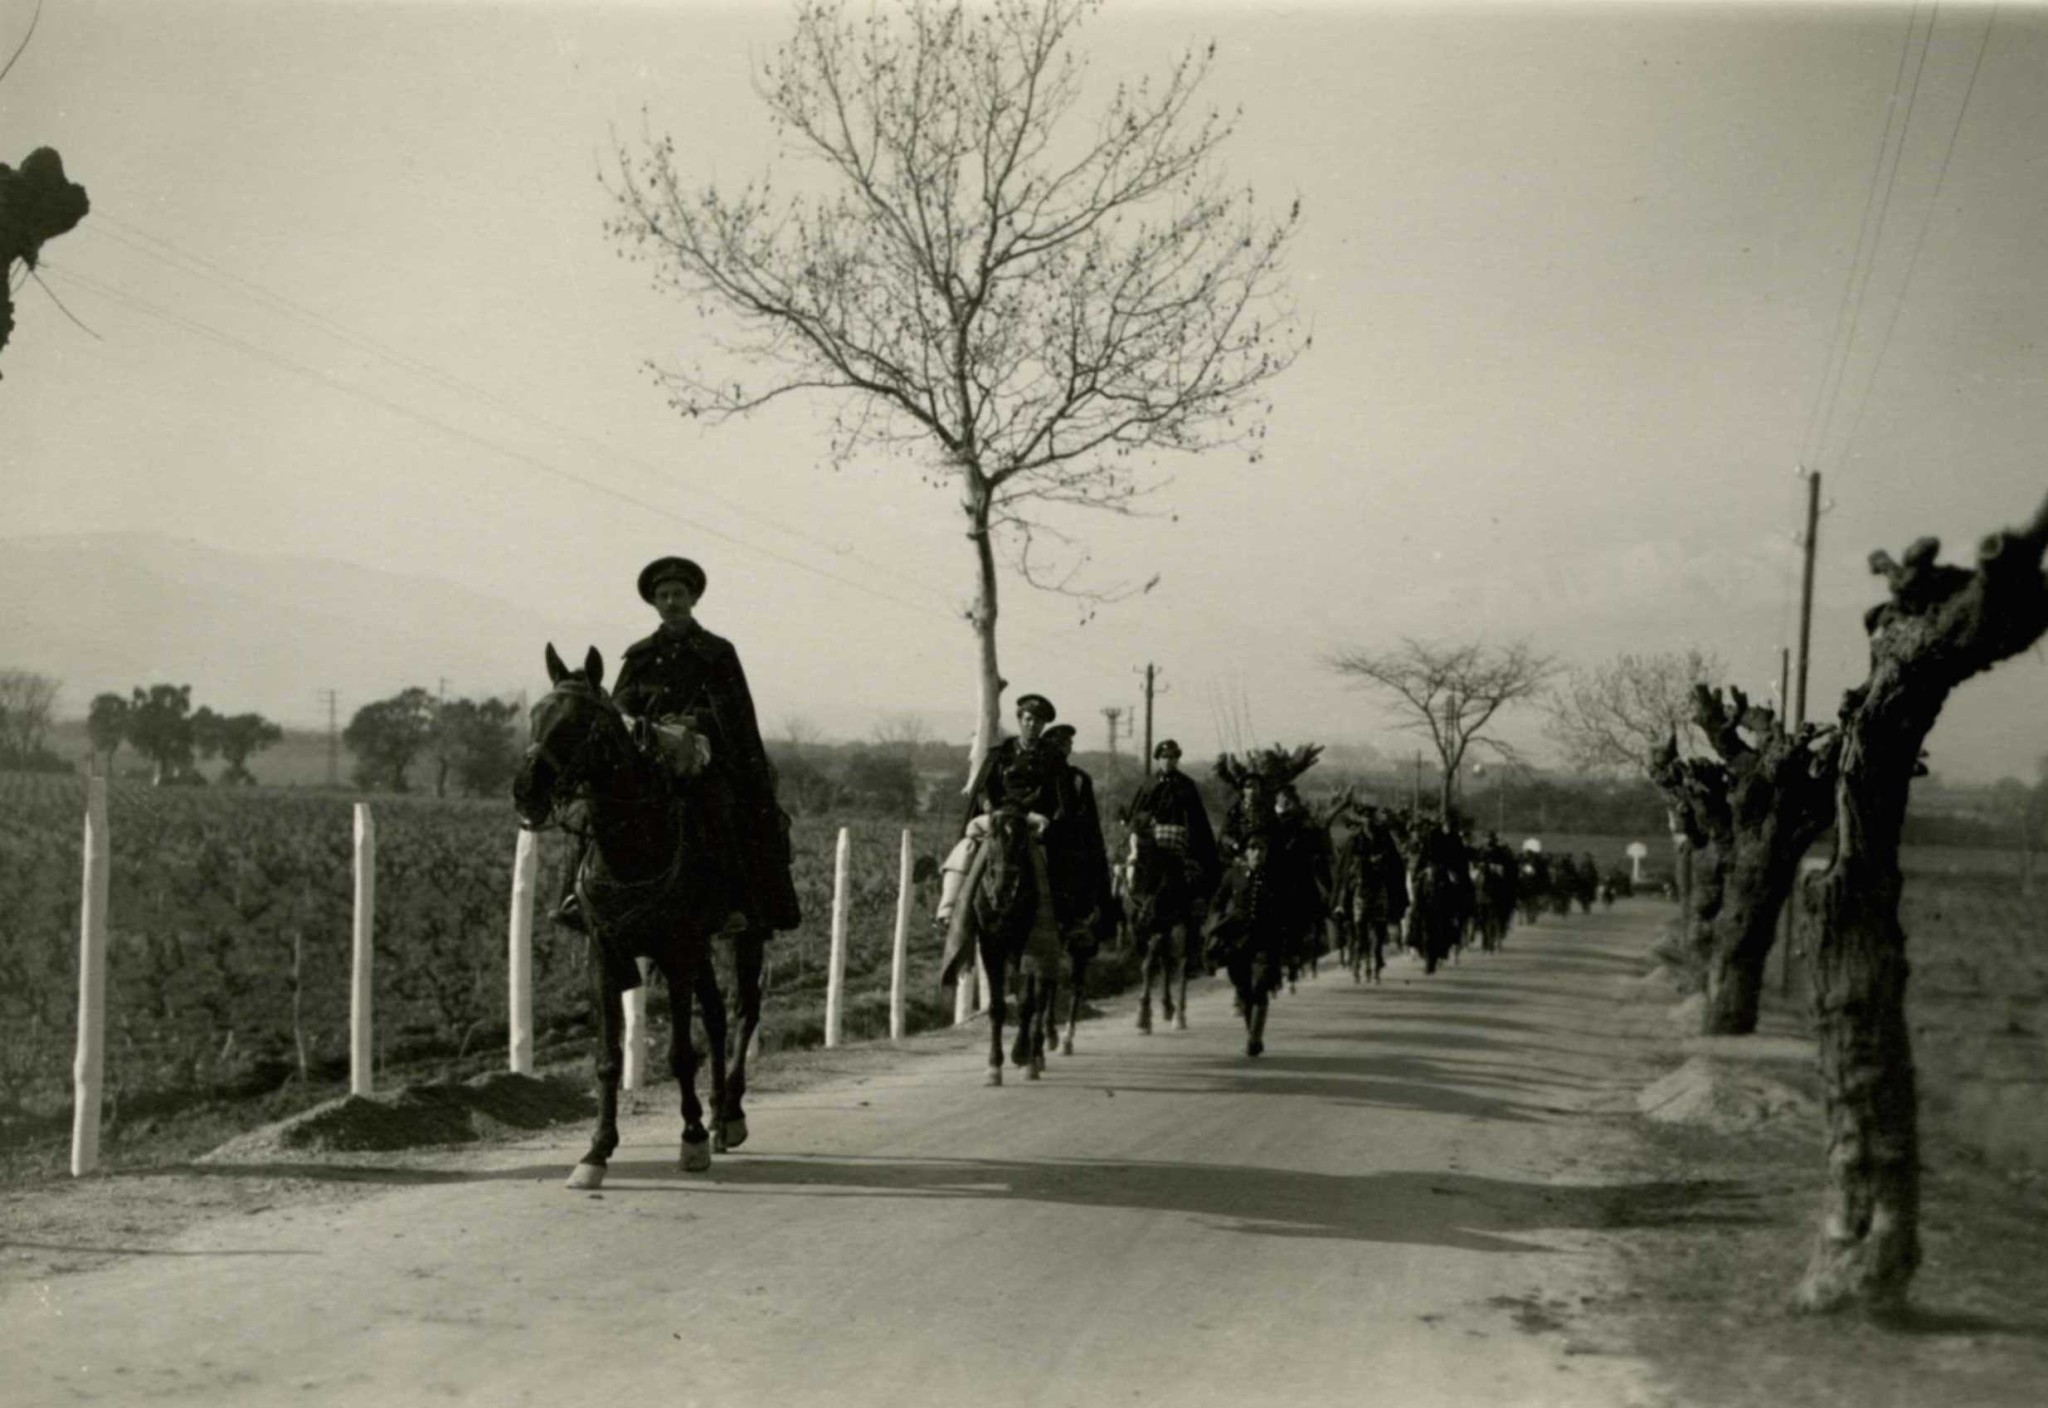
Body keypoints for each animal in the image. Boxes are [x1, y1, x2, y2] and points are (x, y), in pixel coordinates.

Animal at [509, 650, 729, 1186]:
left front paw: (692, 1136)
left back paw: (725, 1119)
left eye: (577, 723)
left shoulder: (676, 952)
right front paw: (596, 1151)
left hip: (707, 944)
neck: (634, 848)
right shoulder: (603, 953)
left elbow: (680, 1053)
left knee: (717, 1021)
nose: (525, 792)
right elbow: (607, 1059)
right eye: (535, 715)